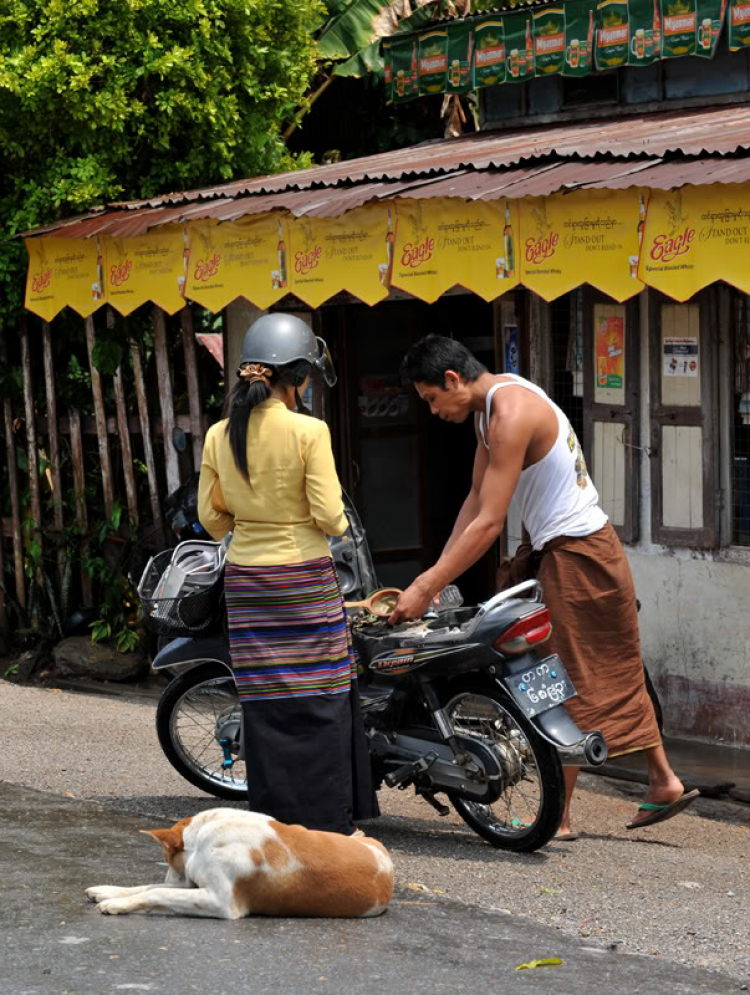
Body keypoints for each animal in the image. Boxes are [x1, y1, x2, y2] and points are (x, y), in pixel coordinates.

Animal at [84, 804, 394, 924]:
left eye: (167, 858)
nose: (170, 876)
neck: (205, 836)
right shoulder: (193, 885)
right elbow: (148, 886)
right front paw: (107, 891)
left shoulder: (219, 901)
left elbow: (158, 892)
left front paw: (116, 904)